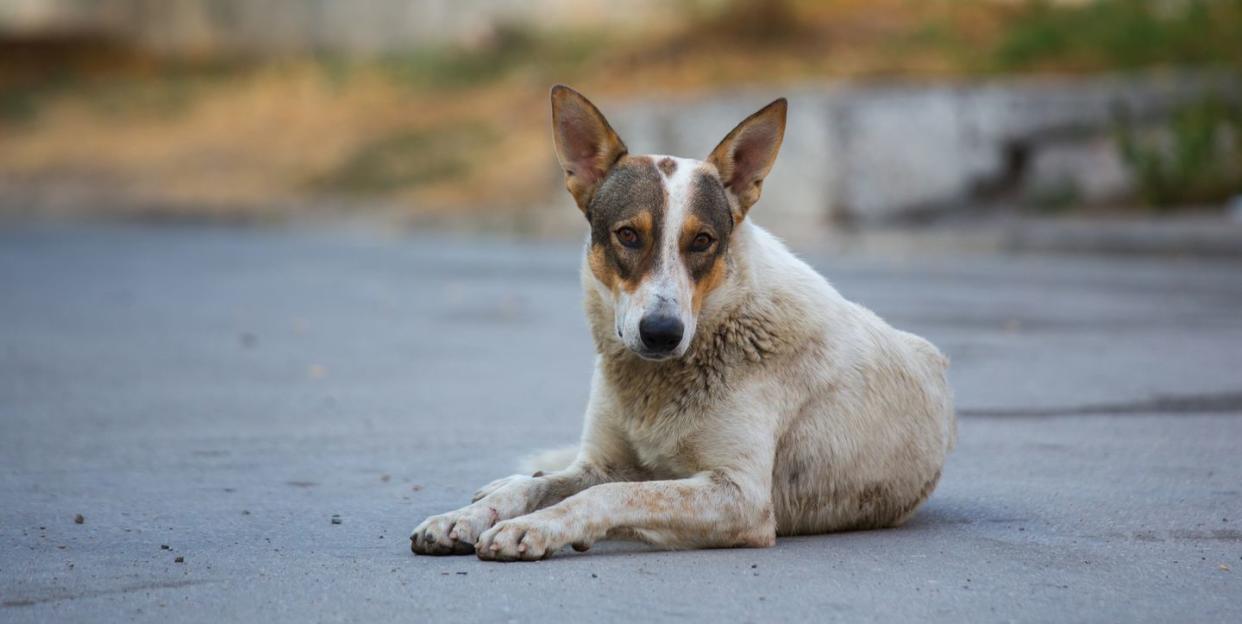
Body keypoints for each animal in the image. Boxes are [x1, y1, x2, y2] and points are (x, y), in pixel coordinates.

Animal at [412, 83, 953, 561]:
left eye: (703, 241)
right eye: (628, 235)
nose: (661, 333)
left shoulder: (740, 496)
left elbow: (607, 496)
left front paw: (536, 528)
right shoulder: (603, 463)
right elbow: (537, 487)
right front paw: (462, 518)